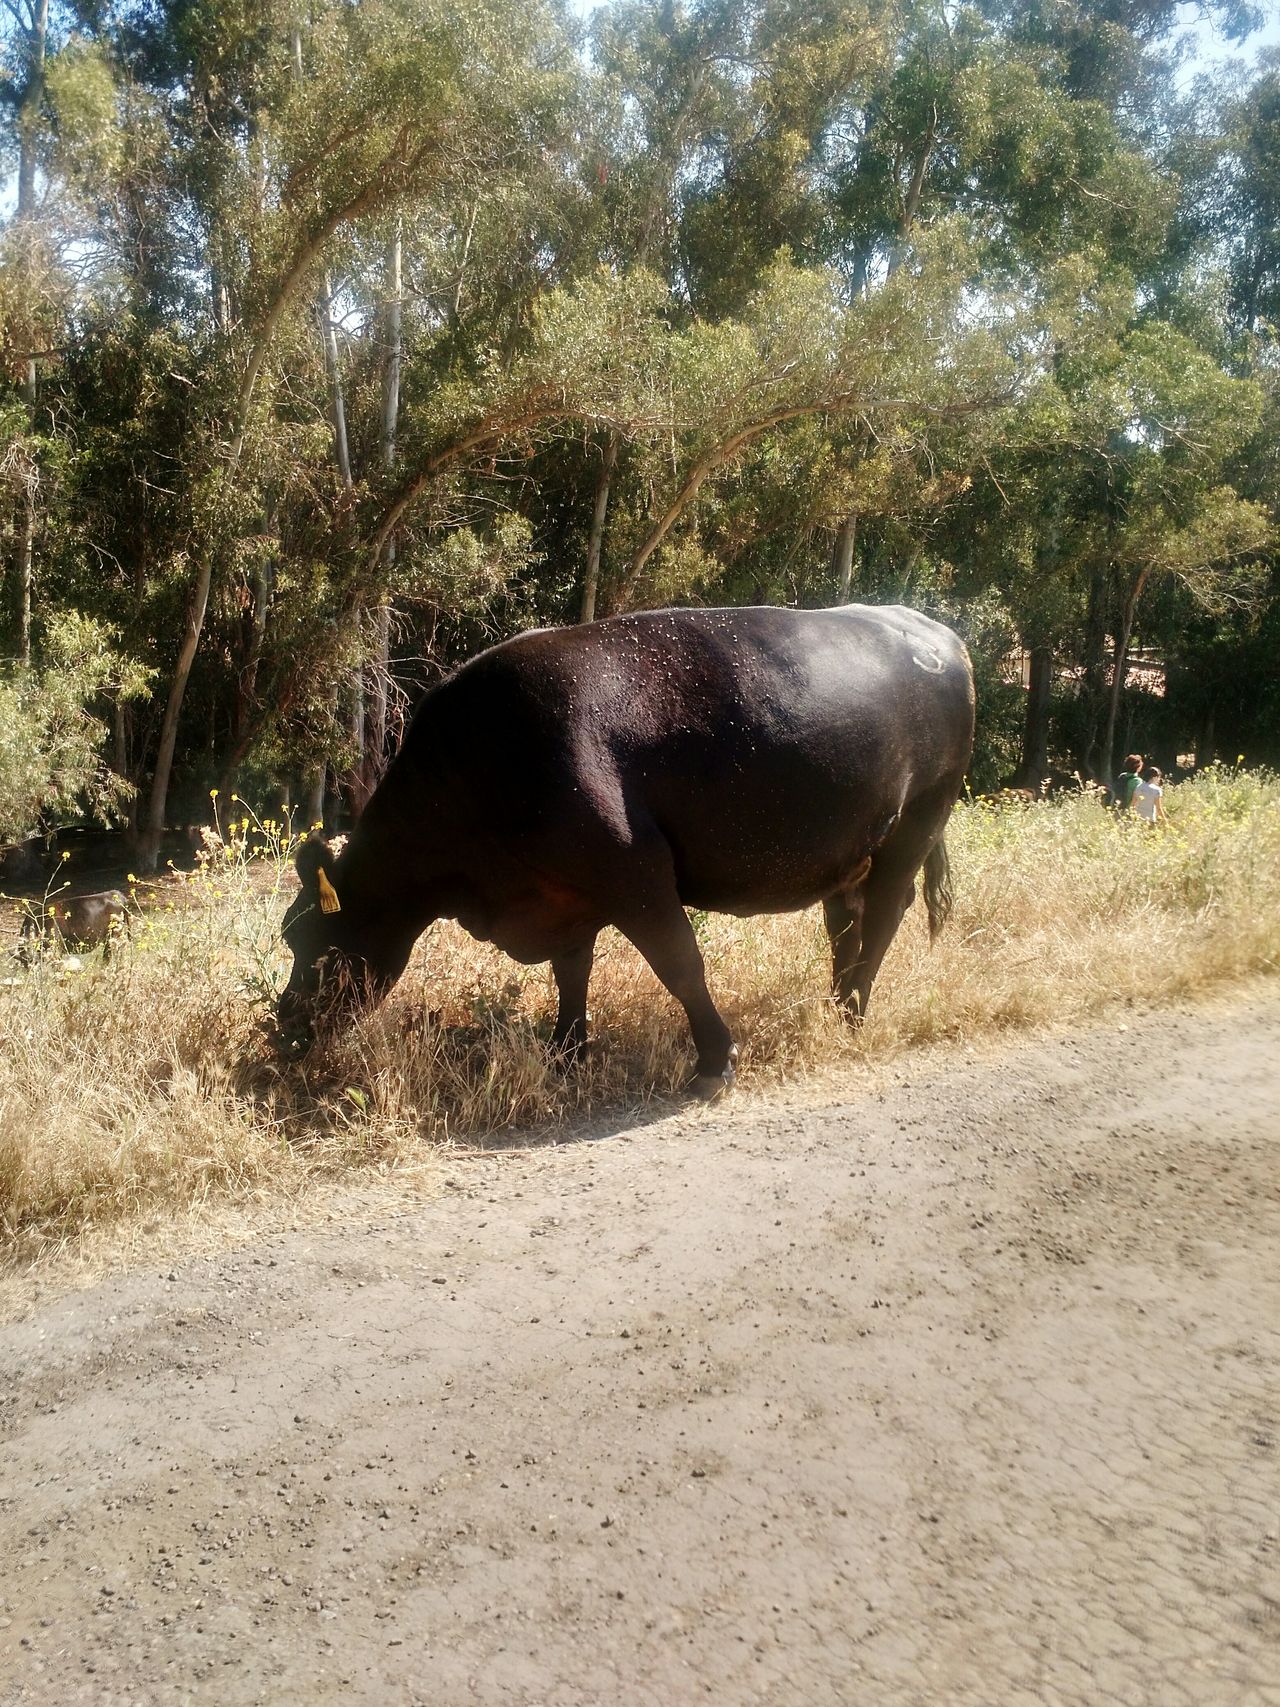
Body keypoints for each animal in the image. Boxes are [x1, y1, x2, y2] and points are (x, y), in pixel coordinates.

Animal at [279, 607, 976, 1099]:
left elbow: (679, 963)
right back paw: (835, 1005)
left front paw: (715, 1060)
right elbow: (571, 972)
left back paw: (854, 1013)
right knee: (845, 919)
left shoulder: (634, 871)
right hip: (853, 845)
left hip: (920, 819)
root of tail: (937, 631)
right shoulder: (566, 893)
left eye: (308, 939)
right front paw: (565, 1052)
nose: (284, 1031)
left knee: (884, 913)